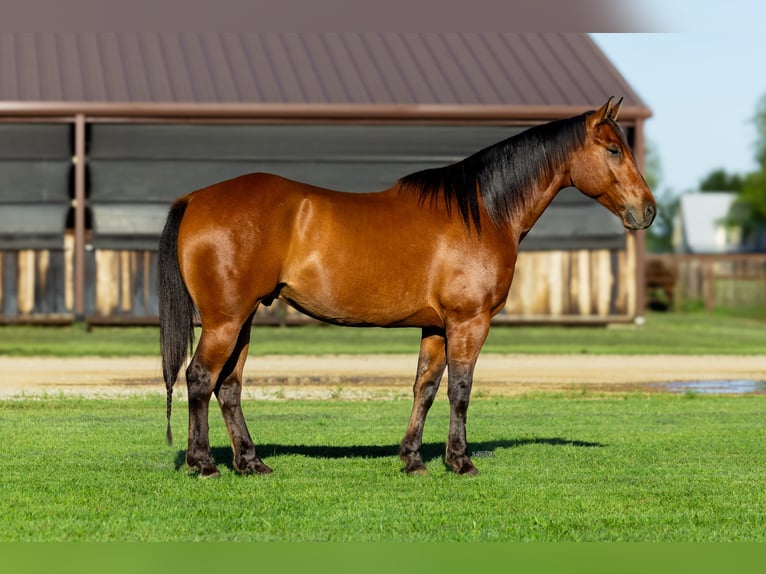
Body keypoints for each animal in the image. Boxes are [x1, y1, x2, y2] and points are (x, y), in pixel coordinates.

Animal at [158, 97, 656, 478]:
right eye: (614, 149)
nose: (647, 211)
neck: (483, 212)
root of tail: (196, 198)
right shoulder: (469, 322)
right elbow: (460, 390)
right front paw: (461, 461)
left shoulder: (436, 327)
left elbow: (426, 387)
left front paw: (413, 459)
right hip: (225, 321)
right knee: (200, 377)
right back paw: (204, 463)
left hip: (242, 320)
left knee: (228, 387)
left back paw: (250, 463)